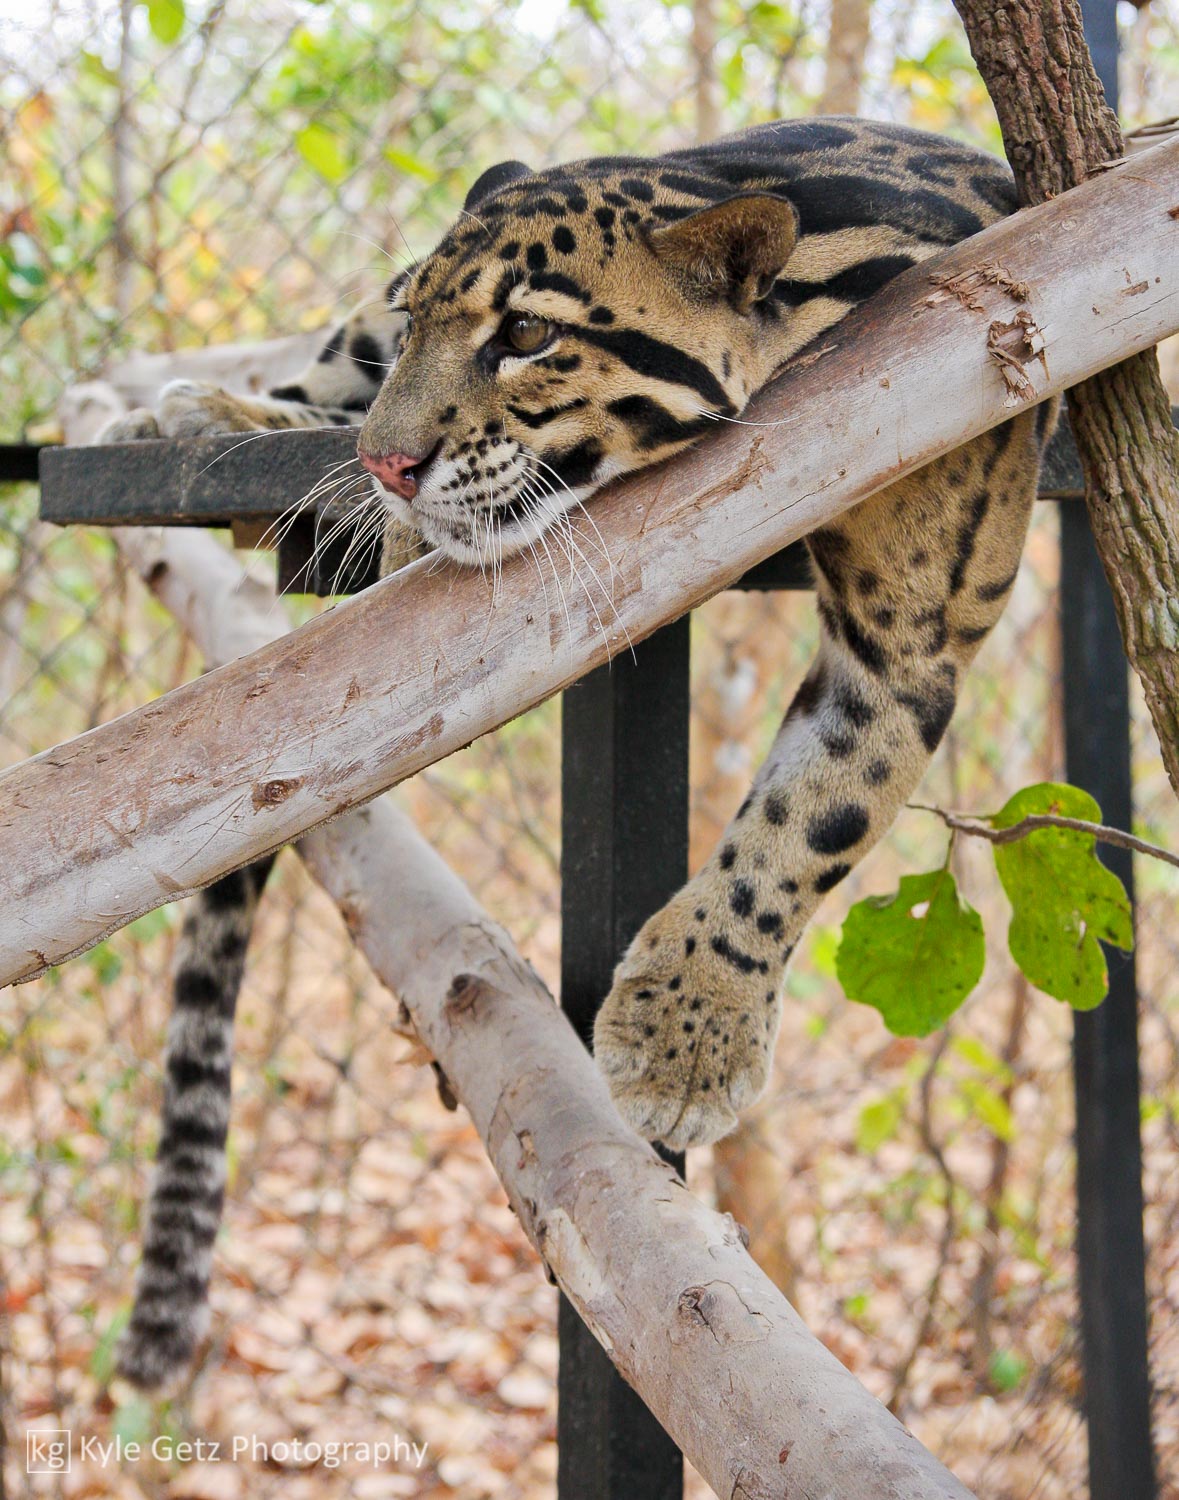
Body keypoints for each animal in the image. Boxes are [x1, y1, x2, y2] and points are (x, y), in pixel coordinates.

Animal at [99, 116, 1056, 1388]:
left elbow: (812, 818)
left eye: (527, 337)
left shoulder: (913, 631)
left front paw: (686, 1037)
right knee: (314, 390)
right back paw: (198, 413)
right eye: (422, 324)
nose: (393, 463)